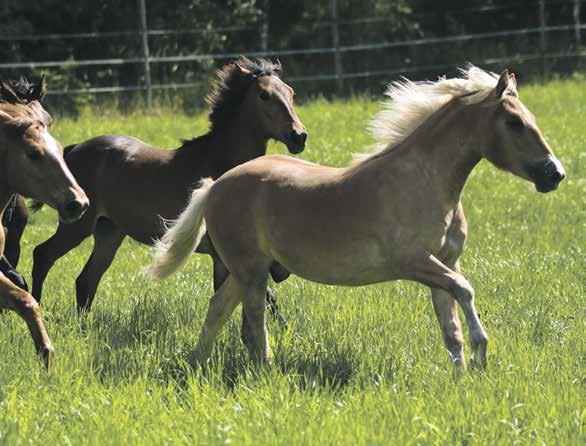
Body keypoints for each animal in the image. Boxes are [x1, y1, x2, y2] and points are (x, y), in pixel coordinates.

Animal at [31, 58, 306, 324]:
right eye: (264, 95)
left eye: (291, 92)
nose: (299, 136)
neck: (219, 164)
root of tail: (73, 150)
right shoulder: (225, 255)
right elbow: (261, 297)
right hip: (77, 226)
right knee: (43, 255)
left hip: (109, 232)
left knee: (86, 280)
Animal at [148, 68, 564, 372]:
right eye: (514, 123)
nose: (555, 174)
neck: (423, 181)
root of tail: (214, 187)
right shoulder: (414, 262)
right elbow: (466, 291)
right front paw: (482, 354)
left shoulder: (445, 263)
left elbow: (452, 328)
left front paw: (462, 376)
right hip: (251, 271)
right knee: (254, 321)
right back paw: (264, 369)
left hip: (245, 270)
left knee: (218, 310)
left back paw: (198, 364)